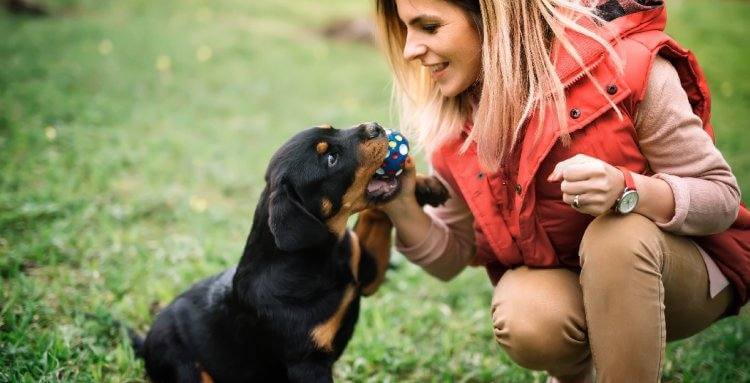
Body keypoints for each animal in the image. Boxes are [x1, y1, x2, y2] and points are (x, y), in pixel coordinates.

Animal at [132, 124, 450, 383]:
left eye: (333, 129)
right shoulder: (307, 363)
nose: (375, 127)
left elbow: (377, 212)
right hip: (184, 365)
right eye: (330, 159)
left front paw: (423, 184)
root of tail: (145, 341)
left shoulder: (365, 272)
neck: (319, 256)